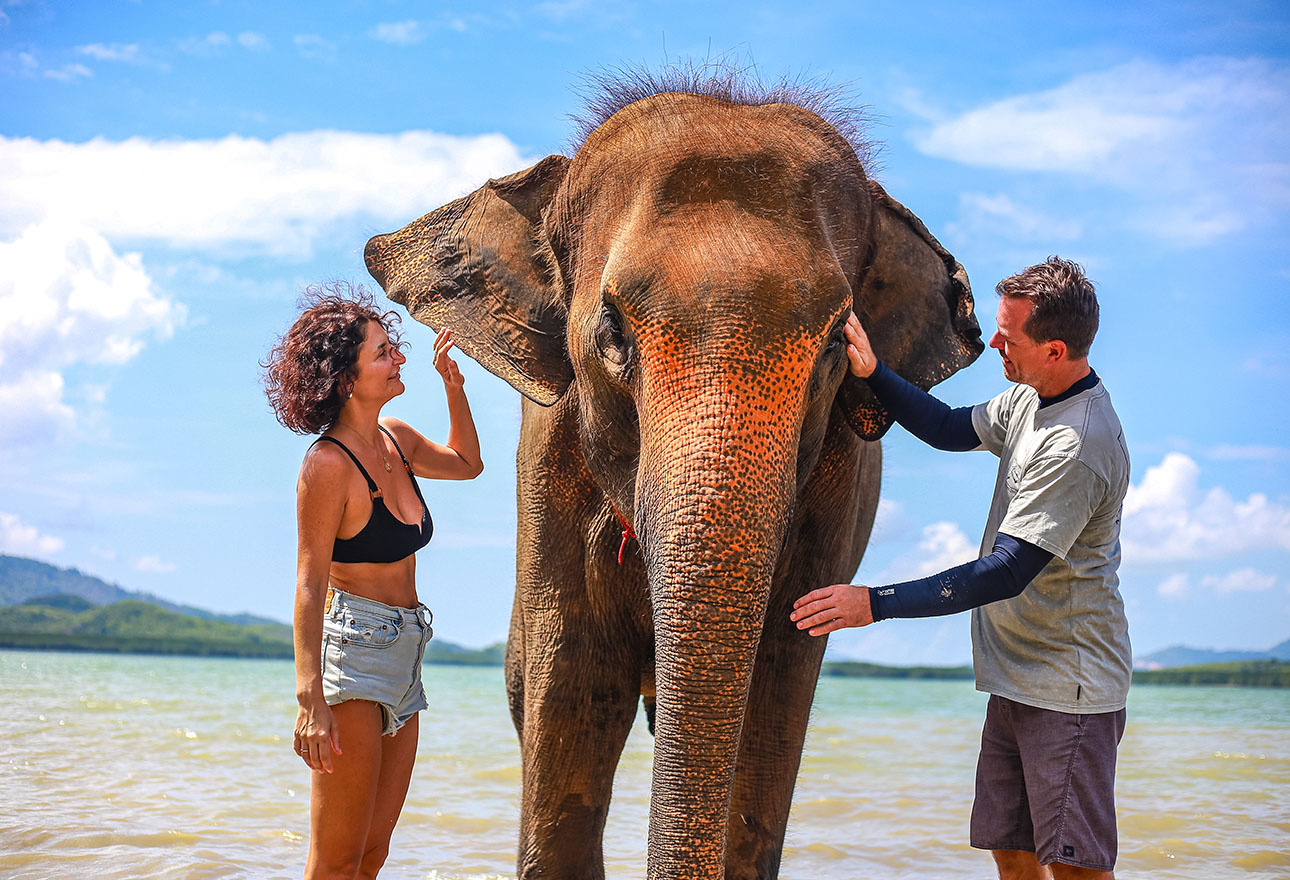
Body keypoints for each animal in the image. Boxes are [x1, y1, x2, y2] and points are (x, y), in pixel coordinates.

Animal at [364, 74, 983, 879]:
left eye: (835, 347)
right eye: (612, 332)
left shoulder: (838, 495)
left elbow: (774, 702)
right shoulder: (551, 472)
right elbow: (575, 688)